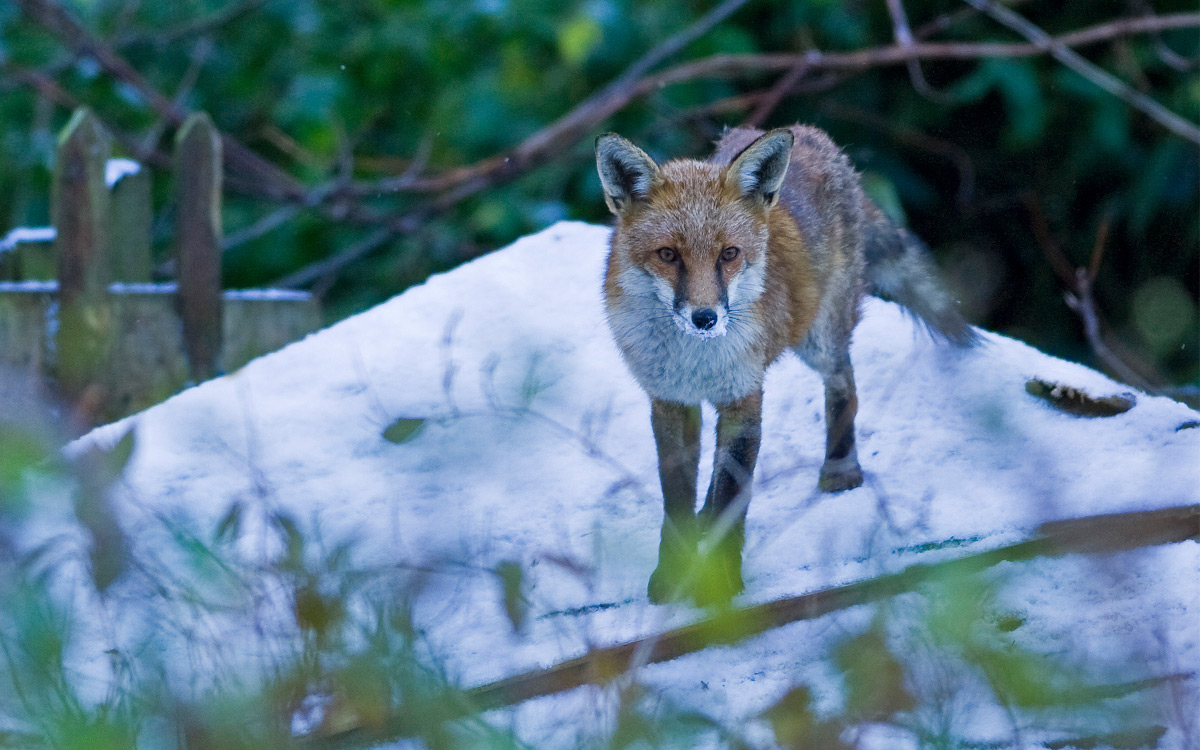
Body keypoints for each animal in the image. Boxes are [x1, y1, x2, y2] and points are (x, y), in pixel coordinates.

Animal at [592, 123, 974, 602]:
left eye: (729, 254)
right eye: (668, 255)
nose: (705, 318)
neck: (694, 359)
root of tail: (815, 137)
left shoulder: (744, 396)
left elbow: (732, 496)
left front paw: (722, 584)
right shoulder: (670, 401)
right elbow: (677, 500)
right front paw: (674, 573)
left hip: (819, 338)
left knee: (845, 384)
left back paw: (840, 467)